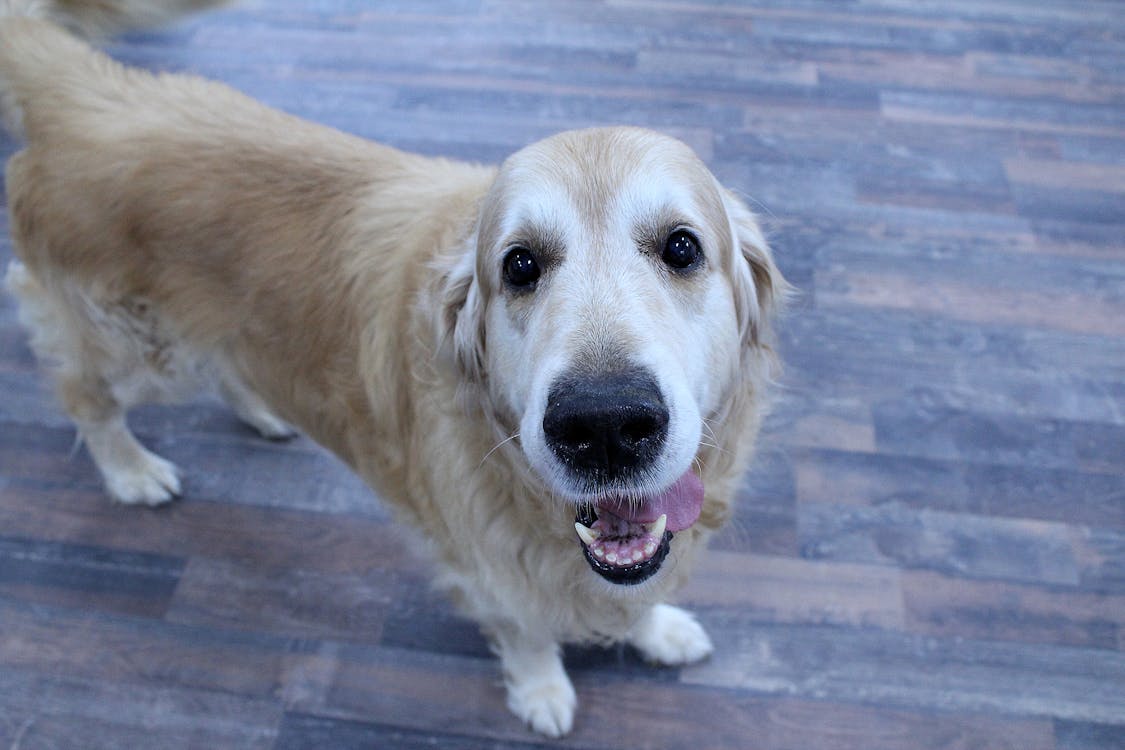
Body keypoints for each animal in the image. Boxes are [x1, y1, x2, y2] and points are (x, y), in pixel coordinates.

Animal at [2, 1, 792, 737]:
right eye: (519, 265)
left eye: (682, 247)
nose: (603, 426)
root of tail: (84, 85)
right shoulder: (482, 559)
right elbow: (526, 630)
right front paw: (541, 691)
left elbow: (642, 583)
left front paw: (657, 629)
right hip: (129, 343)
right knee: (84, 397)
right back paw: (130, 470)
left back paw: (260, 409)